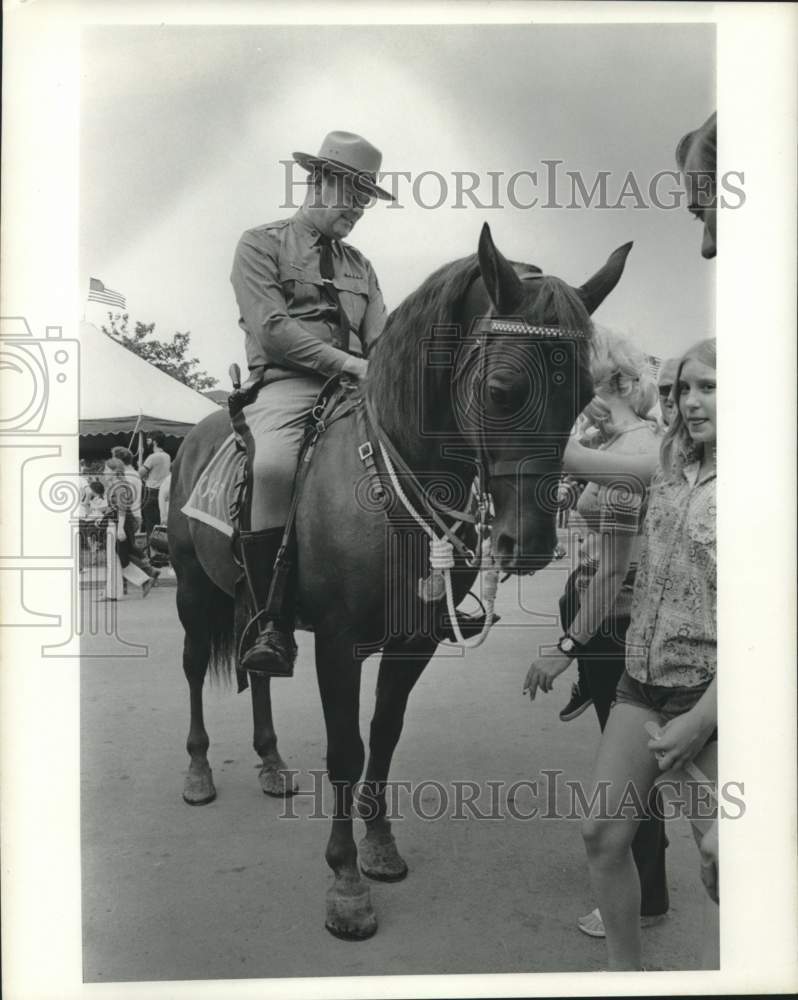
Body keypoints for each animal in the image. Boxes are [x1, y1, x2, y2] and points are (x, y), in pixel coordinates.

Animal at [167, 221, 632, 936]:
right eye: (500, 391)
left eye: (583, 397)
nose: (528, 544)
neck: (391, 480)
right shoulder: (338, 645)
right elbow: (346, 750)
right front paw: (346, 882)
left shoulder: (414, 641)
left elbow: (383, 737)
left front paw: (379, 846)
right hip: (193, 592)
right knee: (195, 669)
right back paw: (198, 772)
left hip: (253, 600)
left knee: (258, 667)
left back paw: (271, 761)